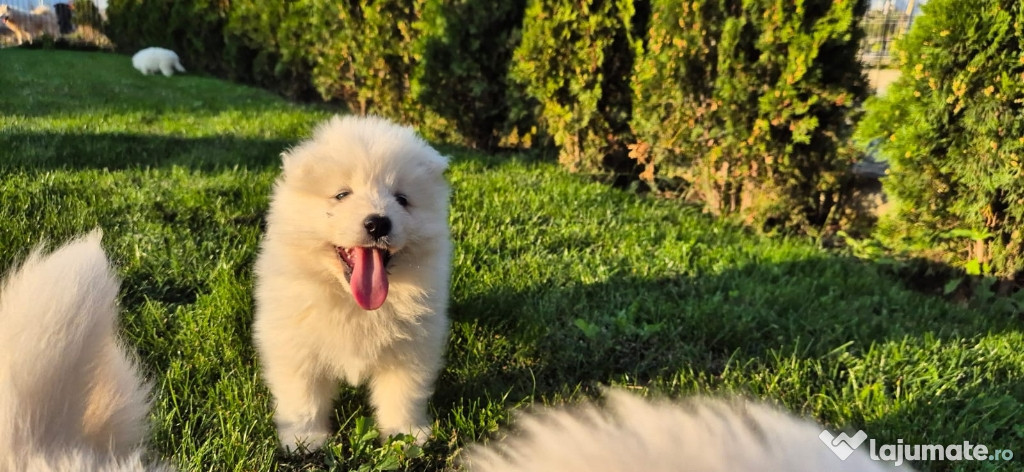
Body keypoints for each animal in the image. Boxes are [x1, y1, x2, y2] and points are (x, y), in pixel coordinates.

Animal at [252, 115, 452, 450]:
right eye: (342, 195)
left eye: (402, 199)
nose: (378, 223)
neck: (353, 302)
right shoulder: (296, 342)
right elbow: (303, 395)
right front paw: (304, 438)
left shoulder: (411, 347)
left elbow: (403, 393)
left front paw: (406, 435)